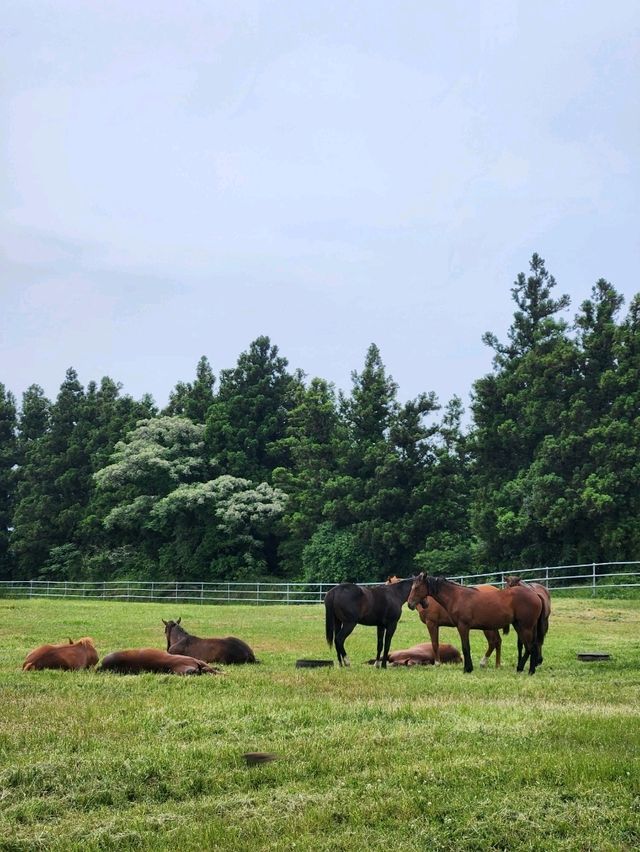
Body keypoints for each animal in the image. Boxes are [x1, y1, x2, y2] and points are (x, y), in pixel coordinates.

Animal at [408, 576, 544, 676]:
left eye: (417, 587)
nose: (410, 604)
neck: (457, 596)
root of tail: (535, 595)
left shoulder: (463, 627)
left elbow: (465, 647)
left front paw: (467, 669)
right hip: (519, 626)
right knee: (529, 647)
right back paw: (521, 668)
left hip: (525, 627)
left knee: (530, 647)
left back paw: (529, 670)